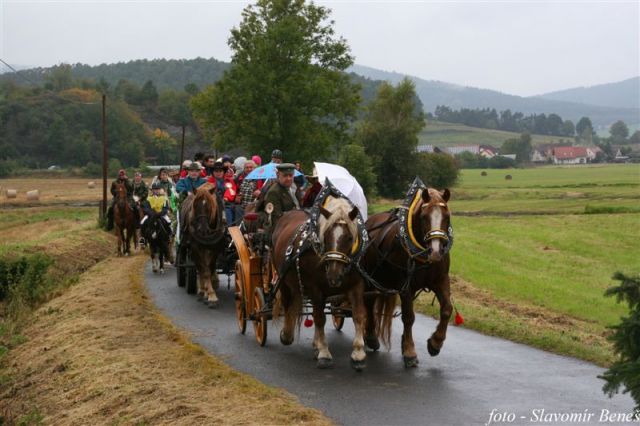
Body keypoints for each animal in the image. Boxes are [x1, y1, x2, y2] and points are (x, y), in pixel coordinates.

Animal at [272, 196, 370, 370]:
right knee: (288, 303)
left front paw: (358, 353)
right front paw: (324, 352)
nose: (334, 275)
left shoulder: (357, 285)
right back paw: (287, 334)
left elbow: (359, 315)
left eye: (349, 238)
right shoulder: (316, 289)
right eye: (327, 236)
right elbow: (319, 318)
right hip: (283, 279)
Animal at [360, 185, 456, 368]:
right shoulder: (406, 287)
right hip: (369, 279)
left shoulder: (440, 280)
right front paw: (410, 351)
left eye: (447, 216)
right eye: (424, 217)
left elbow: (447, 309)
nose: (436, 251)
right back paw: (371, 336)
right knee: (368, 303)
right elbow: (409, 317)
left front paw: (435, 343)